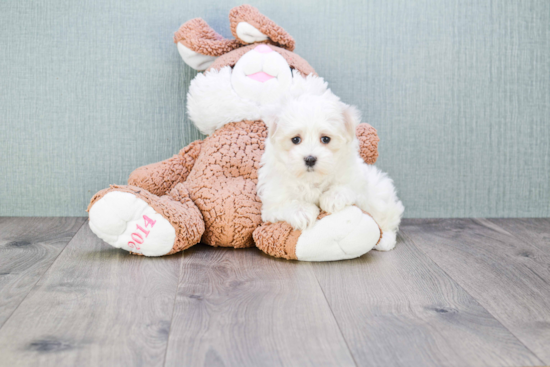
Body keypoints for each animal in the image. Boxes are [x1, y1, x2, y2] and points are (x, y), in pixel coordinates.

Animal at [258, 92, 406, 253]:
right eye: (295, 139)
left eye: (325, 139)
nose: (310, 159)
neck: (312, 179)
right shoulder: (272, 200)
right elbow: (286, 203)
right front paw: (302, 212)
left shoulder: (356, 178)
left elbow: (348, 186)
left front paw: (332, 198)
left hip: (381, 193)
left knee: (387, 218)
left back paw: (385, 240)